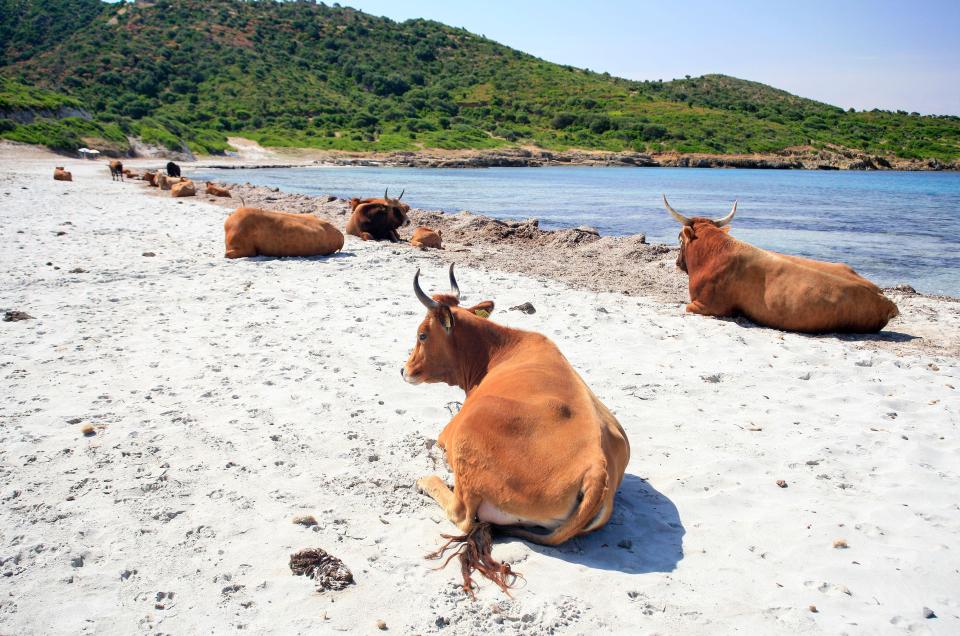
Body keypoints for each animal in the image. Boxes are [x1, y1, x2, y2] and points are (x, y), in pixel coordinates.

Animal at [404, 266, 632, 592]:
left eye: (422, 334)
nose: (404, 369)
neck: (498, 350)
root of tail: (596, 466)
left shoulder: (448, 433)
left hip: (467, 441)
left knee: (462, 514)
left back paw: (428, 481)